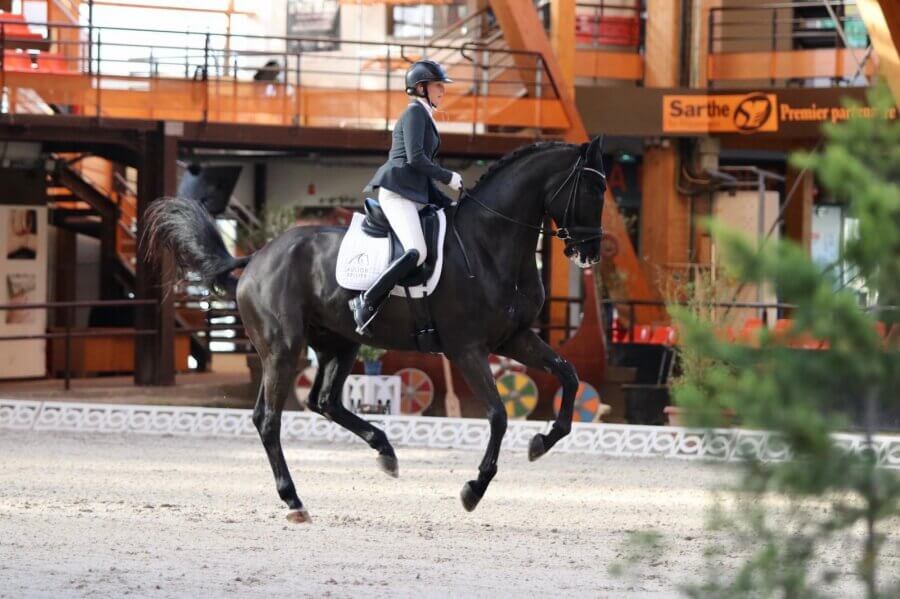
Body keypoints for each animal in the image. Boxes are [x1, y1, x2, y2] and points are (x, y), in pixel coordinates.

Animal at [144, 138, 608, 524]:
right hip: (283, 348)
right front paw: (474, 489)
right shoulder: (468, 349)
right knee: (268, 418)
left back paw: (385, 451)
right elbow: (497, 415)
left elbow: (568, 375)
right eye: (591, 190)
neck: (489, 244)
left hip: (339, 343)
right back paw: (294, 499)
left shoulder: (515, 338)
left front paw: (542, 442)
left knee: (325, 401)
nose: (591, 254)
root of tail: (257, 256)